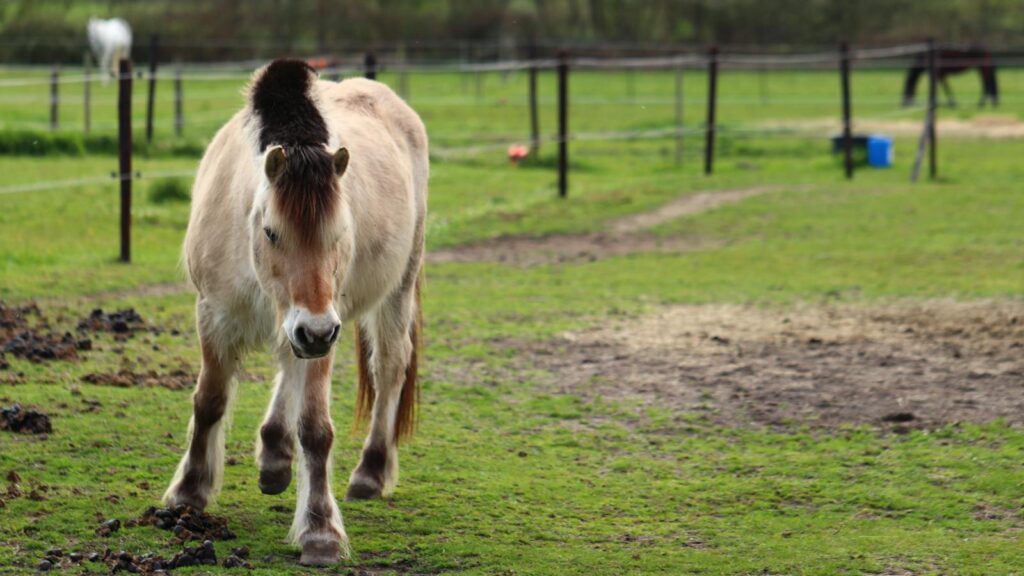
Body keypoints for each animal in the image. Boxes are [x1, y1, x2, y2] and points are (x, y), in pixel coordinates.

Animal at [162, 59, 428, 565]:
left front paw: (320, 531)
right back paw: (274, 455)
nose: (316, 331)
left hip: (393, 290)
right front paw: (188, 493)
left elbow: (316, 429)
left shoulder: (325, 324)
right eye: (271, 232)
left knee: (389, 367)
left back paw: (370, 471)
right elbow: (209, 400)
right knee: (289, 361)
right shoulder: (215, 315)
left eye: (340, 232)